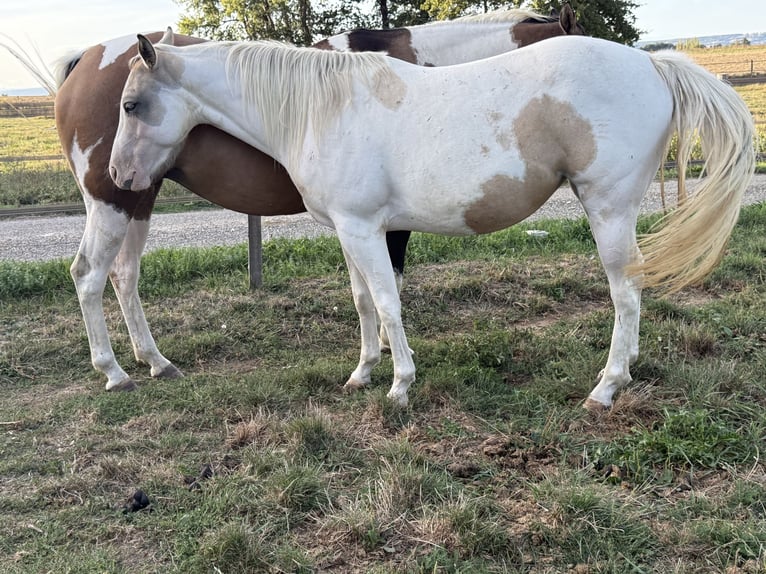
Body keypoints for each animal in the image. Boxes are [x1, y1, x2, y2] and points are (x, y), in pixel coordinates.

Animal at [49, 7, 583, 392]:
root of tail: (85, 59)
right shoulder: (386, 222)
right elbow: (389, 287)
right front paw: (391, 356)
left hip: (138, 195)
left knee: (123, 275)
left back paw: (155, 361)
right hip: (112, 199)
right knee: (88, 274)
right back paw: (114, 371)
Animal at [109, 31, 754, 409]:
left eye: (131, 105)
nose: (117, 176)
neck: (323, 110)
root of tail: (651, 64)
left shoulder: (365, 228)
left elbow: (387, 303)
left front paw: (399, 385)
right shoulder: (351, 230)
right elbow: (363, 303)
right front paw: (362, 373)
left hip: (610, 209)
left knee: (626, 290)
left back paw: (608, 385)